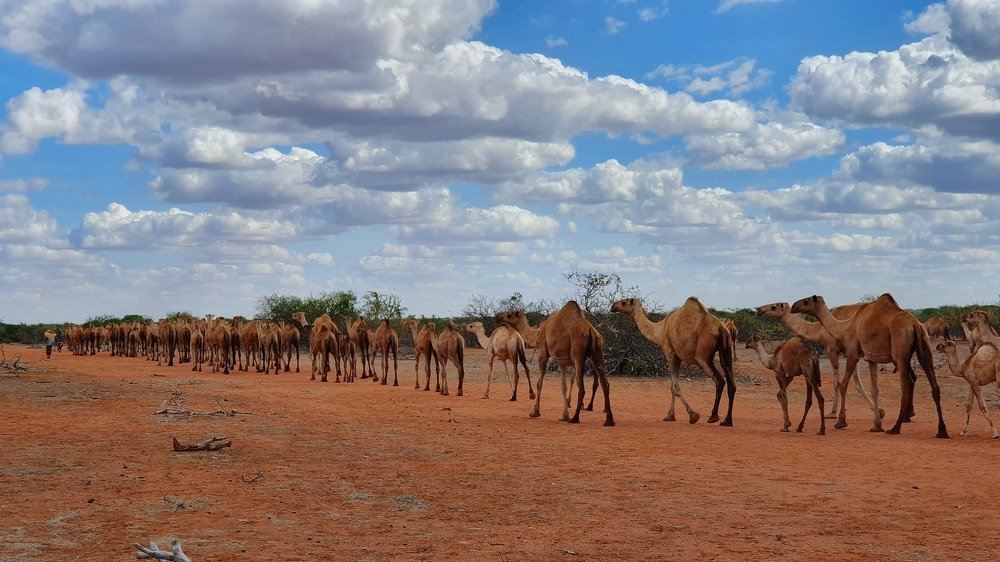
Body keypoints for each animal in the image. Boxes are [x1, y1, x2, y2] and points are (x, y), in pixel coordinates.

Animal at [610, 297, 734, 426]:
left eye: (624, 302)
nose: (613, 306)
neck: (659, 330)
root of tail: (721, 328)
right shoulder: (677, 358)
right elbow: (672, 387)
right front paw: (670, 416)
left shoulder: (671, 355)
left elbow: (675, 388)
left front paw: (693, 416)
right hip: (727, 350)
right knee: (731, 383)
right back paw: (727, 421)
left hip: (703, 357)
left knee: (720, 381)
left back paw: (713, 416)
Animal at [791, 294, 948, 438]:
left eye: (806, 301)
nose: (793, 306)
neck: (845, 326)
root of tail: (915, 324)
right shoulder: (871, 358)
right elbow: (874, 390)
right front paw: (877, 425)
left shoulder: (852, 353)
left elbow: (843, 384)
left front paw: (841, 422)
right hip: (925, 345)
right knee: (934, 386)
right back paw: (941, 431)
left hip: (900, 353)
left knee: (907, 386)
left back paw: (895, 428)